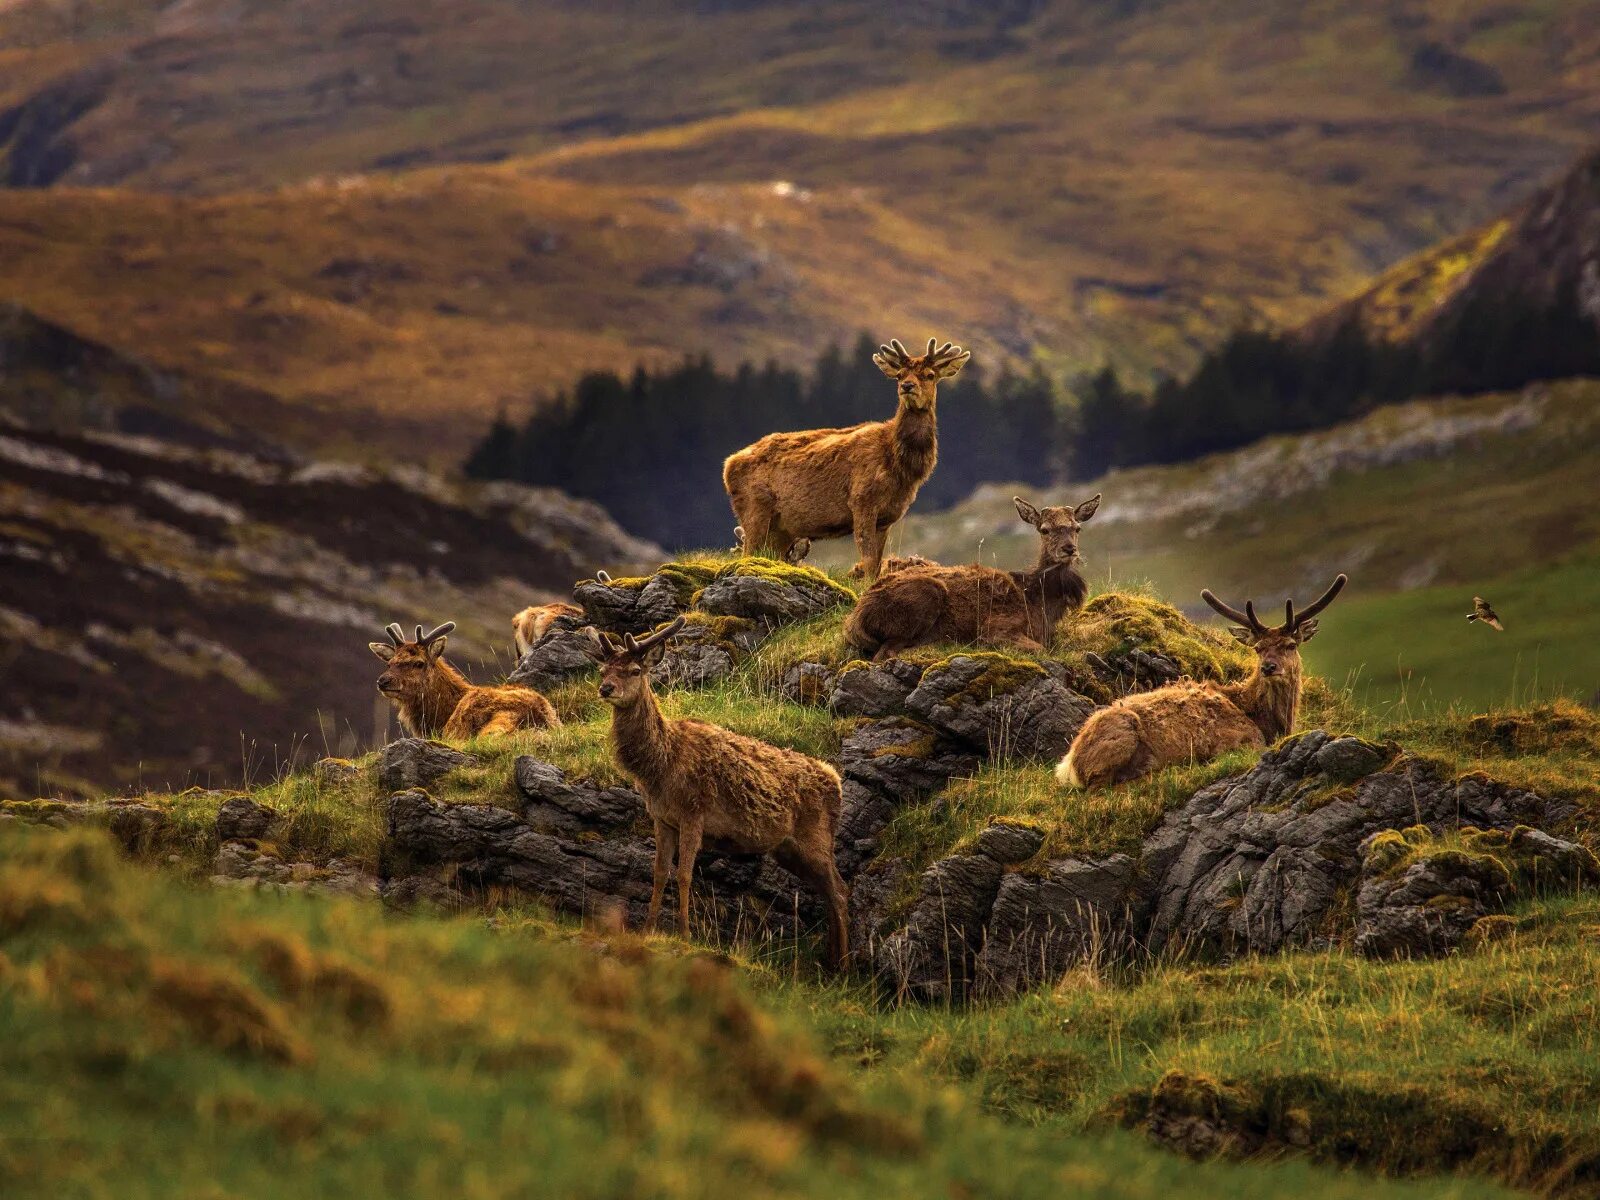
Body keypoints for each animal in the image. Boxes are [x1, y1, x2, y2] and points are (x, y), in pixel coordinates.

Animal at [588, 620, 851, 966]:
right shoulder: (662, 818)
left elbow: (684, 875)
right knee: (828, 892)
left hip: (817, 839)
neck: (660, 767)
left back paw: (845, 964)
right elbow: (658, 873)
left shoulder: (693, 813)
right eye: (603, 669)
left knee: (840, 891)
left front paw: (685, 935)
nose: (606, 689)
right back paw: (831, 961)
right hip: (788, 849)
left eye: (634, 670)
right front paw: (647, 930)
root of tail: (837, 781)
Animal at [723, 339, 966, 582]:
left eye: (930, 374)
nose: (907, 386)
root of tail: (728, 465)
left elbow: (877, 563)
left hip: (781, 527)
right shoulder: (861, 500)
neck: (899, 467)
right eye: (899, 374)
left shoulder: (887, 517)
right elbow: (867, 558)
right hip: (754, 507)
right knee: (747, 551)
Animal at [838, 492, 1100, 662]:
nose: (1069, 549)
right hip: (925, 597)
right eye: (1045, 530)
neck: (1038, 601)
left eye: (1077, 528)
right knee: (884, 654)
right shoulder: (996, 629)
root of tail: (854, 621)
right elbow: (1040, 650)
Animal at [1062, 579, 1350, 793]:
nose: (1269, 667)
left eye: (1290, 645)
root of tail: (1068, 765)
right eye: (1258, 648)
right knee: (1099, 789)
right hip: (1122, 734)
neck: (1267, 721)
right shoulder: (1239, 741)